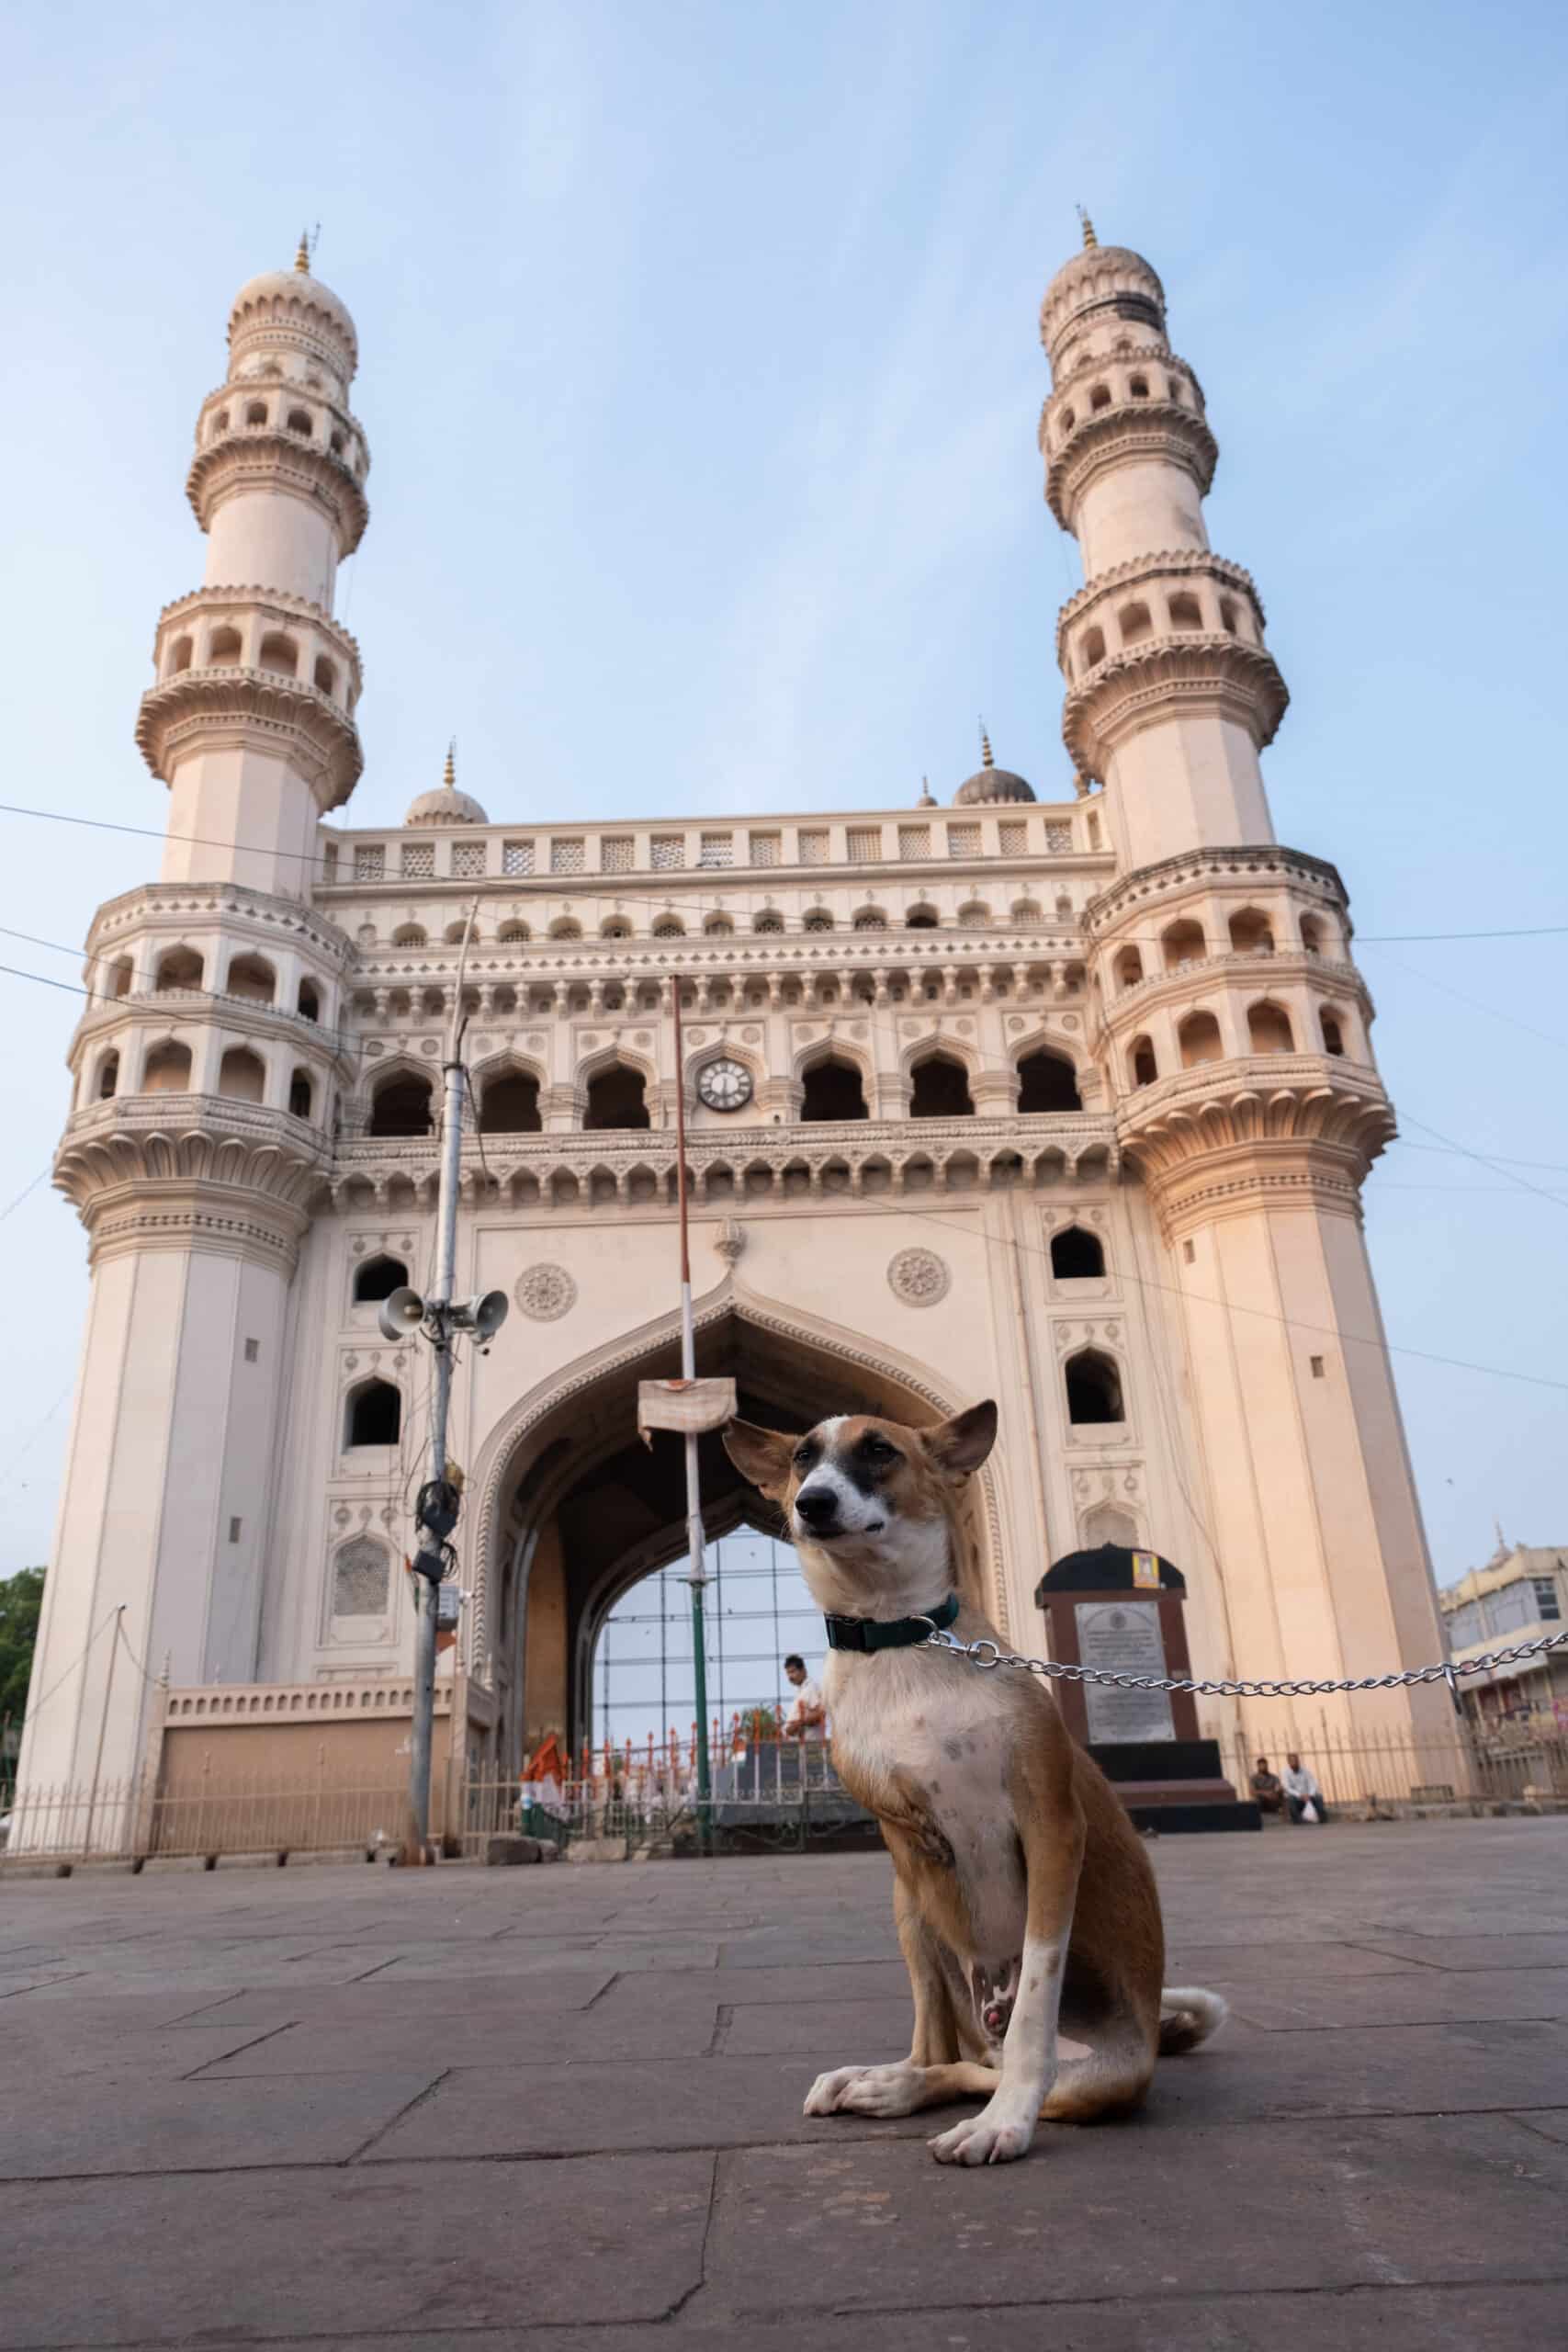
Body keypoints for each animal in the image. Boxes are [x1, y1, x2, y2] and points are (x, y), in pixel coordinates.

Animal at [724, 1392, 1222, 2164]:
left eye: (879, 1450)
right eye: (803, 1457)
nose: (811, 1503)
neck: (898, 1639)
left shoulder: (1051, 1827)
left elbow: (1035, 2001)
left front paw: (1009, 2118)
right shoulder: (906, 1849)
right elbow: (933, 2010)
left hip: (1101, 2074)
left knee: (999, 2063)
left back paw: (976, 2098)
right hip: (908, 1909)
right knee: (945, 2051)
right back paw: (891, 2081)